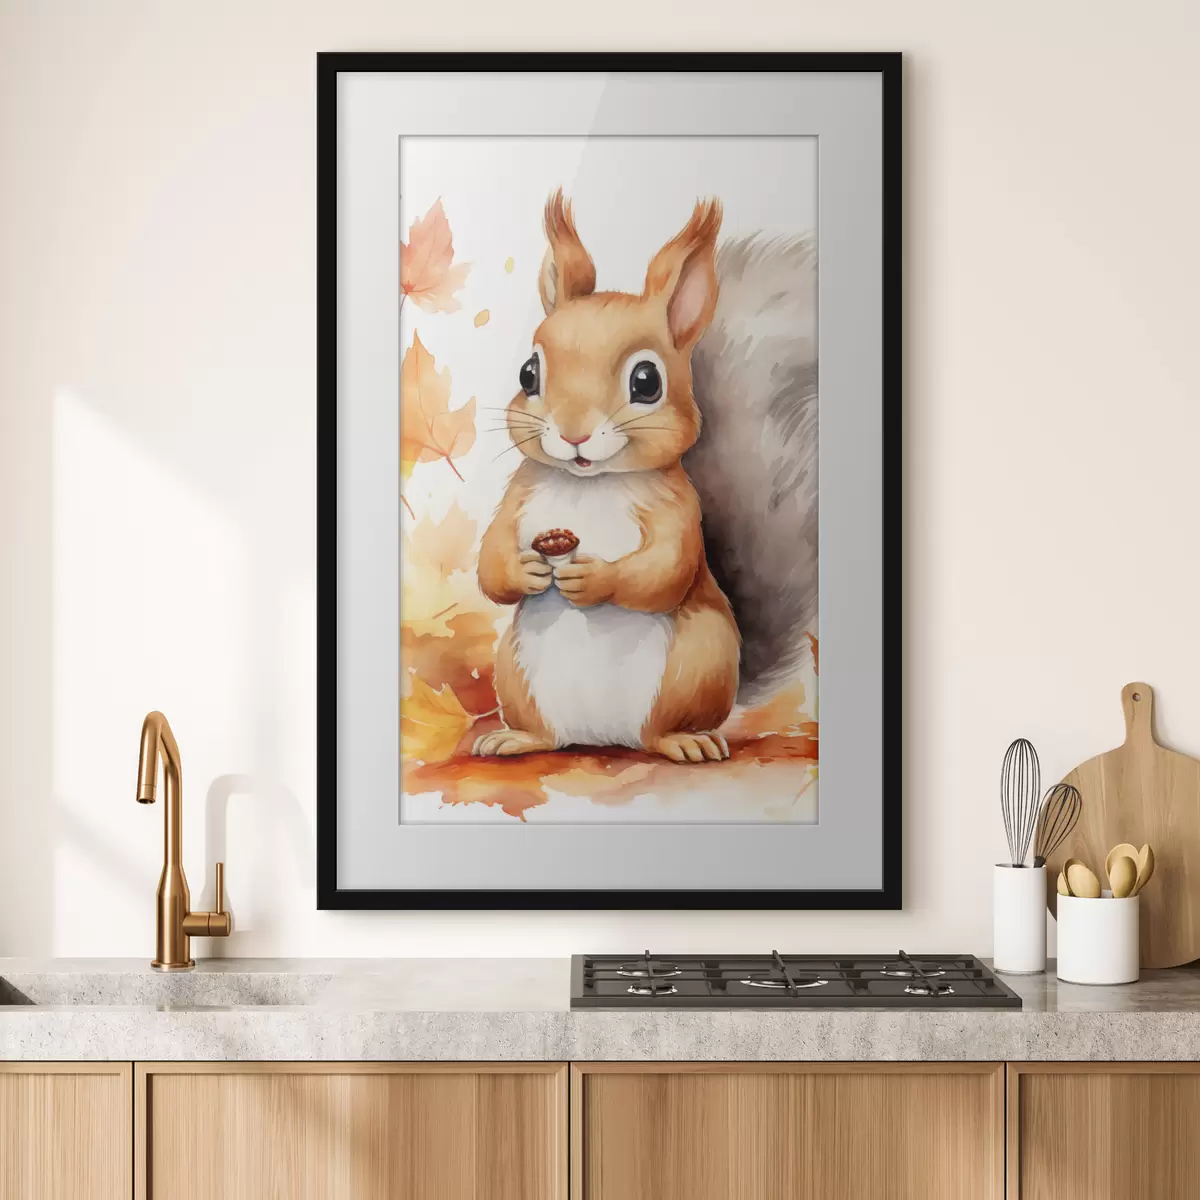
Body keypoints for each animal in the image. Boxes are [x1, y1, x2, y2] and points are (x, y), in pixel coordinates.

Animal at [475, 190, 817, 764]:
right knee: (545, 734)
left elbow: (665, 569)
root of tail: (602, 739)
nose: (572, 433)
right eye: (528, 373)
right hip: (515, 673)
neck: (588, 483)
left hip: (697, 660)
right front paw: (525, 571)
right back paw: (515, 738)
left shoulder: (679, 509)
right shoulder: (517, 499)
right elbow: (491, 562)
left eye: (646, 381)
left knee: (662, 731)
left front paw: (595, 579)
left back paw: (686, 741)